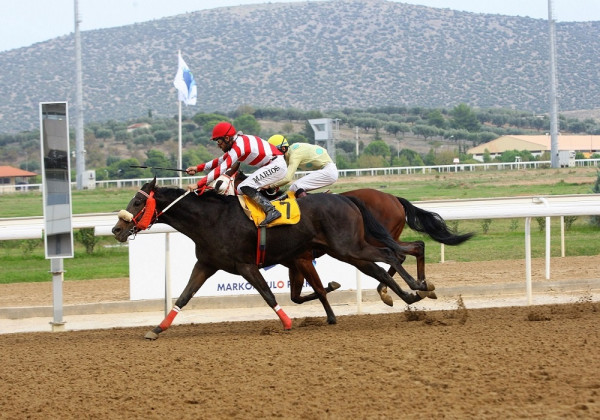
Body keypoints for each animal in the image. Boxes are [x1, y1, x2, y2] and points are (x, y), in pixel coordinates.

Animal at [112, 177, 434, 338]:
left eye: (138, 201)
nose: (117, 229)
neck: (212, 218)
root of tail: (346, 198)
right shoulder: (206, 264)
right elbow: (184, 296)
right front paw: (157, 329)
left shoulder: (247, 265)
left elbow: (269, 295)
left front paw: (288, 323)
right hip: (348, 249)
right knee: (390, 261)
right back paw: (413, 292)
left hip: (348, 247)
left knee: (391, 254)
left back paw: (416, 288)